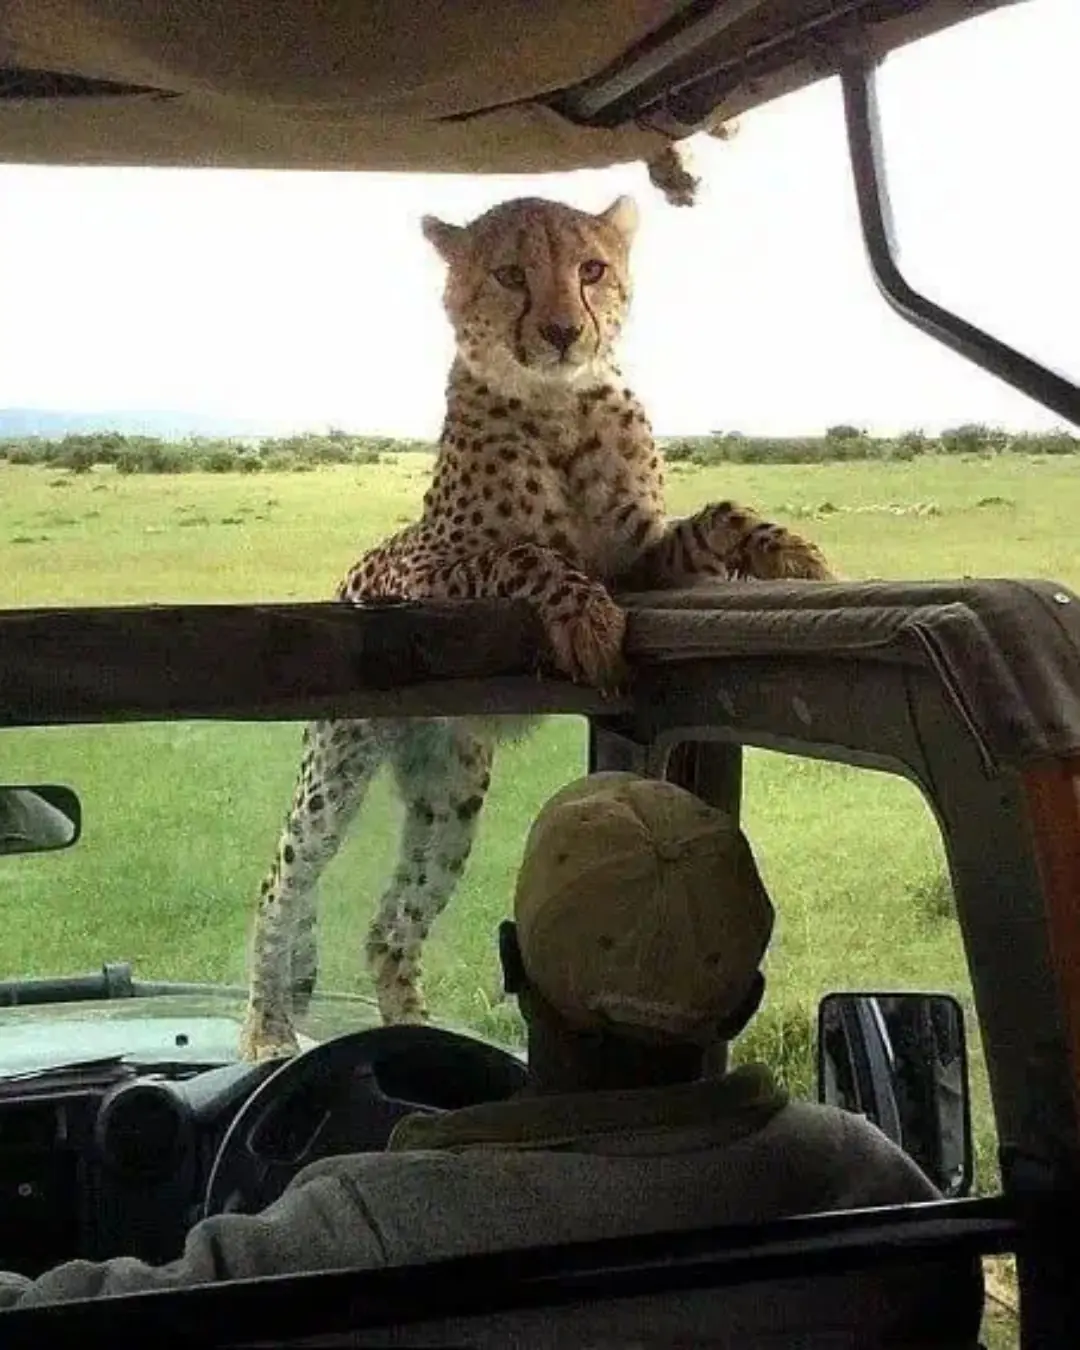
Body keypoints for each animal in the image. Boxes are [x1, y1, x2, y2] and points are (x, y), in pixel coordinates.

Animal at [238, 193, 833, 1063]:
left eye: (591, 268)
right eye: (512, 274)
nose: (560, 331)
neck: (563, 404)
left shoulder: (642, 562)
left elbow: (718, 515)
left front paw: (789, 550)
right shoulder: (435, 572)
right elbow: (525, 554)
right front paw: (584, 619)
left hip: (450, 800)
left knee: (391, 925)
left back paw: (413, 1035)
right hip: (337, 771)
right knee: (282, 884)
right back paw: (267, 1031)